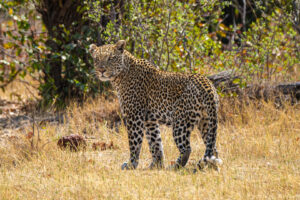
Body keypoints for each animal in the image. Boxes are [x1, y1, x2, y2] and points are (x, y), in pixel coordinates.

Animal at [88, 40, 221, 170]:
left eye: (110, 58)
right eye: (97, 59)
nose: (101, 70)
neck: (120, 76)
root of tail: (206, 83)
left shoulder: (134, 116)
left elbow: (134, 142)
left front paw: (131, 164)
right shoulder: (149, 120)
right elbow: (155, 142)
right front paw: (156, 164)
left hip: (181, 121)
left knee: (187, 148)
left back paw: (175, 167)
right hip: (206, 121)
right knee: (212, 147)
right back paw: (211, 167)